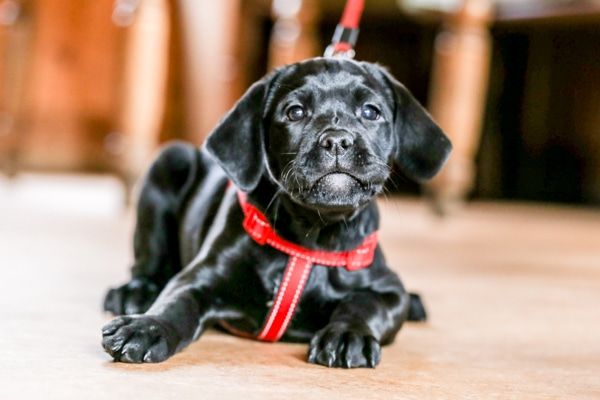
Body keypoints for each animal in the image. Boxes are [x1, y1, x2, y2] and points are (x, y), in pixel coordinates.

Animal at [103, 57, 450, 368]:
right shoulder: (198, 277)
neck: (315, 235)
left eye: (370, 112)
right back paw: (132, 293)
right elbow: (176, 302)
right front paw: (146, 327)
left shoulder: (388, 290)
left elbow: (365, 304)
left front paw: (347, 334)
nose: (337, 140)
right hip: (168, 163)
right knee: (147, 265)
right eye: (295, 112)